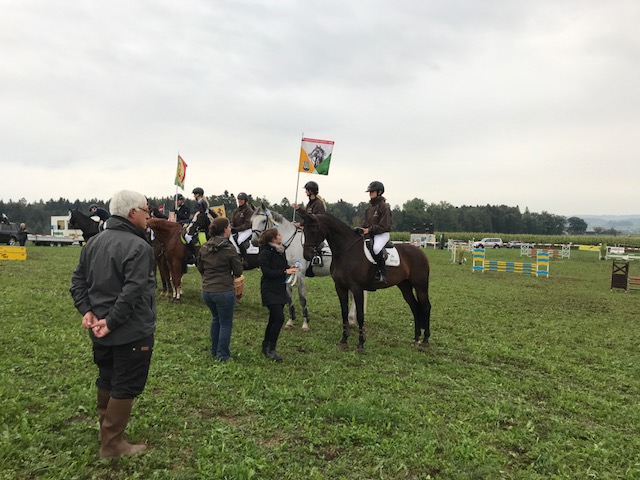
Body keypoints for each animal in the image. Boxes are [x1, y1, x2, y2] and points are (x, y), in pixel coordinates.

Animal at [299, 212, 431, 351]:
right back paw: (416, 339)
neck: (346, 250)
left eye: (313, 231)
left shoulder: (357, 288)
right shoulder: (340, 287)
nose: (307, 255)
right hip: (404, 286)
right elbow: (344, 313)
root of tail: (420, 252)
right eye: (304, 231)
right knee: (415, 307)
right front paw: (344, 340)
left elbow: (360, 314)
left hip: (420, 286)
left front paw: (361, 343)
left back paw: (425, 340)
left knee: (426, 307)